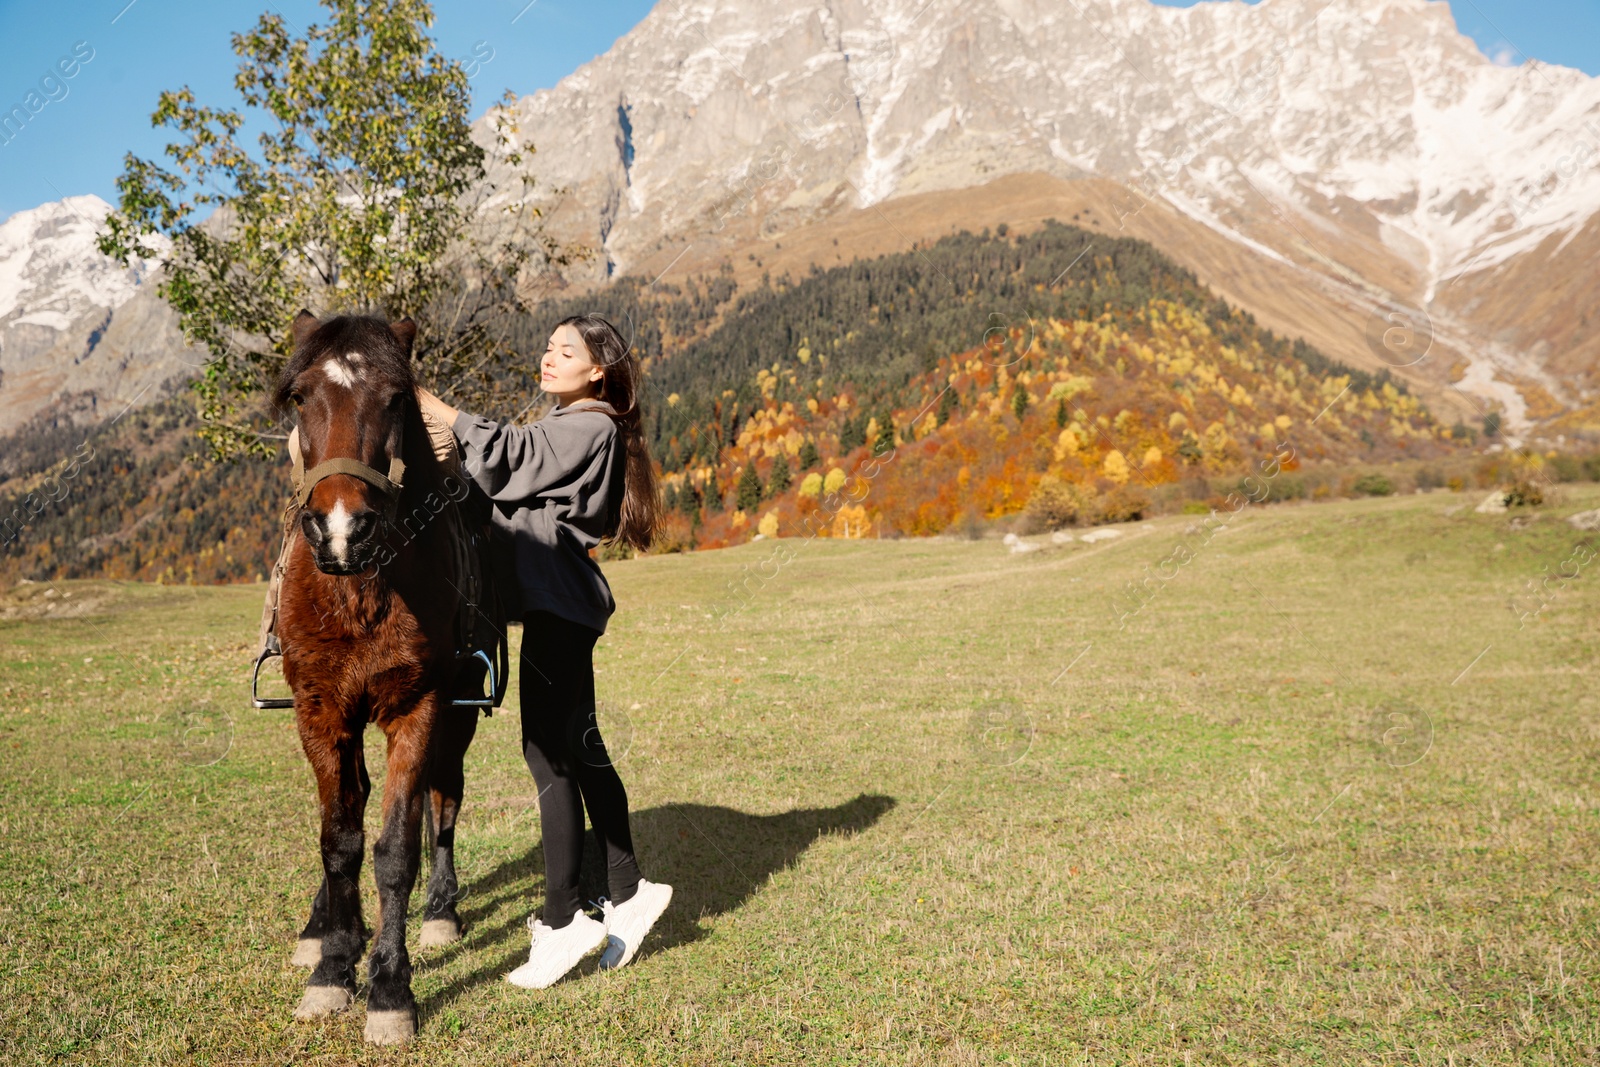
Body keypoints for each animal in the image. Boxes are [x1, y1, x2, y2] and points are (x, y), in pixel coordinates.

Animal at [268, 308, 496, 1043]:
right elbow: (338, 841)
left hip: (454, 717)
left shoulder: (418, 706)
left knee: (443, 797)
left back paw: (441, 911)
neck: (359, 589)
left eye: (396, 399)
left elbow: (396, 849)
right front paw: (332, 967)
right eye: (299, 396)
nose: (342, 529)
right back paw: (320, 926)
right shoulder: (320, 711)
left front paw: (390, 988)